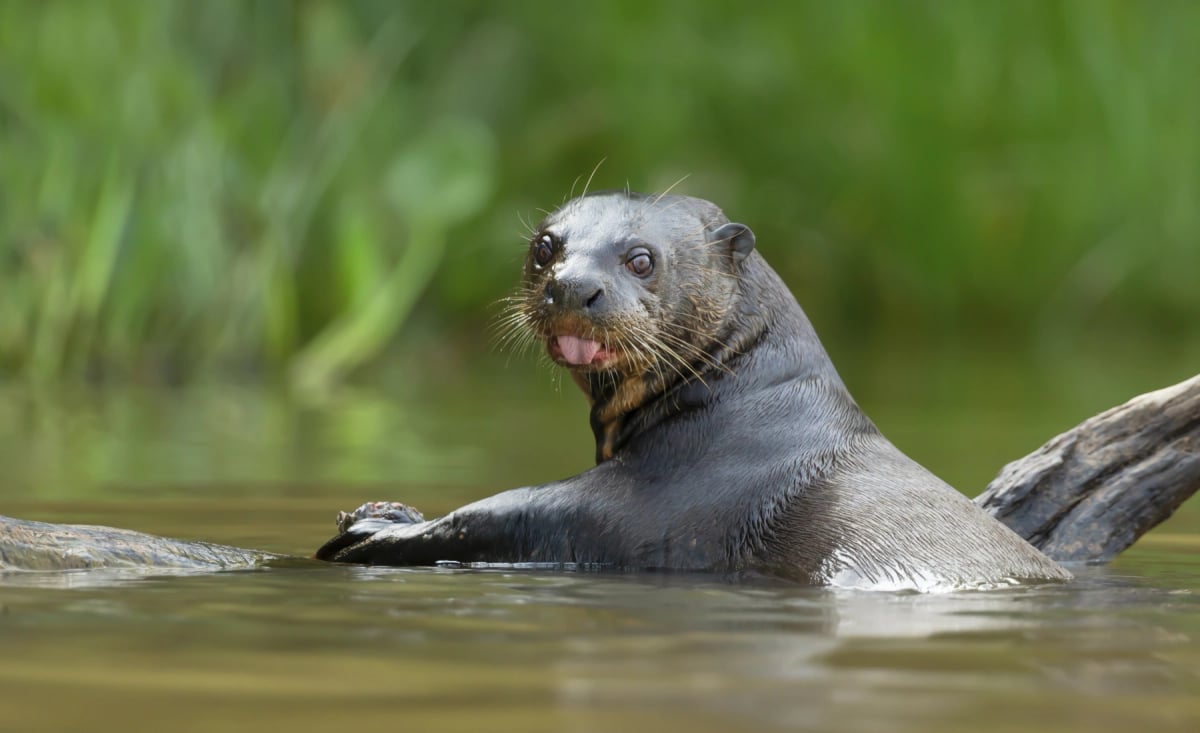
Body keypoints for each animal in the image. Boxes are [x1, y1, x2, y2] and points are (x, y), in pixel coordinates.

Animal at [315, 191, 1070, 590]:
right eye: (545, 246)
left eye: (640, 258)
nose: (573, 287)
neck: (742, 402)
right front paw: (385, 508)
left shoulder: (675, 502)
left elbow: (513, 510)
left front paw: (381, 528)